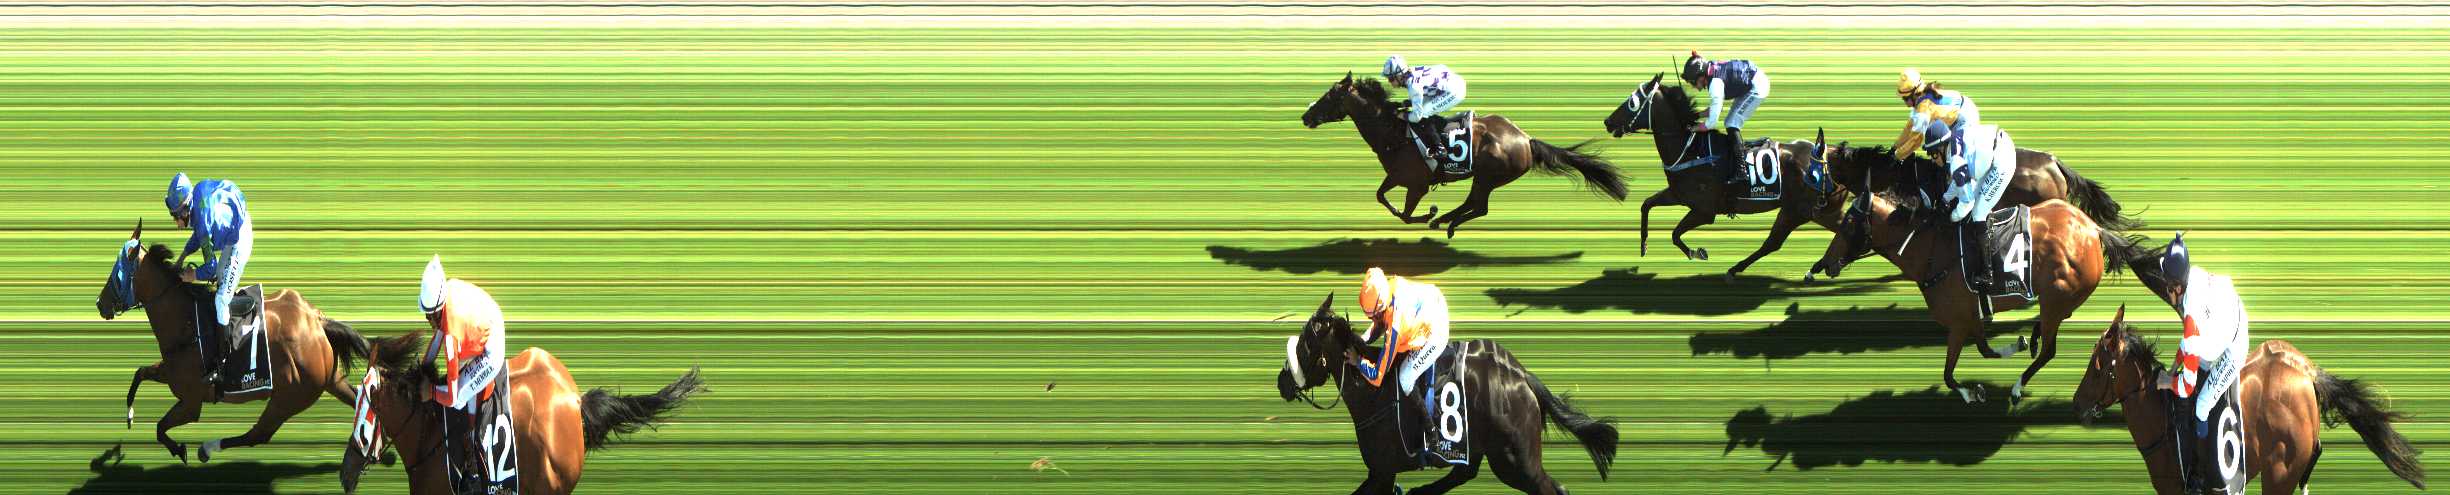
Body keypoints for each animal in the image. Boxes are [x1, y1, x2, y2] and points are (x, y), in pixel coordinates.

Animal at [94, 219, 370, 463]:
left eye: (117, 271)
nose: (100, 303)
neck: (185, 323)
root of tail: (316, 320)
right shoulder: (170, 373)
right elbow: (140, 373)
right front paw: (129, 417)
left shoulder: (191, 402)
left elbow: (160, 428)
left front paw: (179, 450)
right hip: (329, 379)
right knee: (357, 398)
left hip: (289, 397)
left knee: (258, 435)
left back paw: (207, 448)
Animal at [1276, 294, 1617, 495]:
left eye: (1306, 343)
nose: (1282, 381)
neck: (1372, 393)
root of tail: (1523, 378)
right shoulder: (1384, 474)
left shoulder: (1382, 472)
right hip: (1480, 447)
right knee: (1464, 473)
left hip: (1515, 460)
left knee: (1551, 489)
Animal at [1303, 72, 1629, 238]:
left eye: (1329, 97)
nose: (1305, 116)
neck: (1394, 133)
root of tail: (1525, 139)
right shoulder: (1396, 176)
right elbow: (1381, 197)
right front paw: (1426, 215)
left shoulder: (1417, 185)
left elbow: (1406, 215)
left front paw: (1428, 213)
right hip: (1484, 177)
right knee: (1475, 203)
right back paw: (1446, 220)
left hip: (1488, 175)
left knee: (1479, 206)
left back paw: (1444, 221)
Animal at [1599, 74, 1850, 280]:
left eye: (1632, 101)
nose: (1608, 122)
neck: (1690, 149)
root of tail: (1830, 153)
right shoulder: (1678, 195)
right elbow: (1646, 205)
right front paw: (1643, 245)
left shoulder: (1704, 210)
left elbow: (1675, 233)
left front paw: (1696, 252)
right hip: (1812, 210)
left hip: (1805, 210)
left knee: (1783, 241)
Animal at [1807, 186, 2149, 402]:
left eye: (1848, 223)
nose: (1824, 263)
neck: (1931, 250)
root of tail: (2093, 230)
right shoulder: (1968, 318)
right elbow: (1980, 352)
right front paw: (2010, 350)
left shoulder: (1960, 321)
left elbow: (1954, 370)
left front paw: (1974, 391)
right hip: (2059, 299)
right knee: (2049, 330)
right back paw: (2032, 336)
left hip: (2057, 296)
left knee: (2049, 350)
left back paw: (2017, 387)